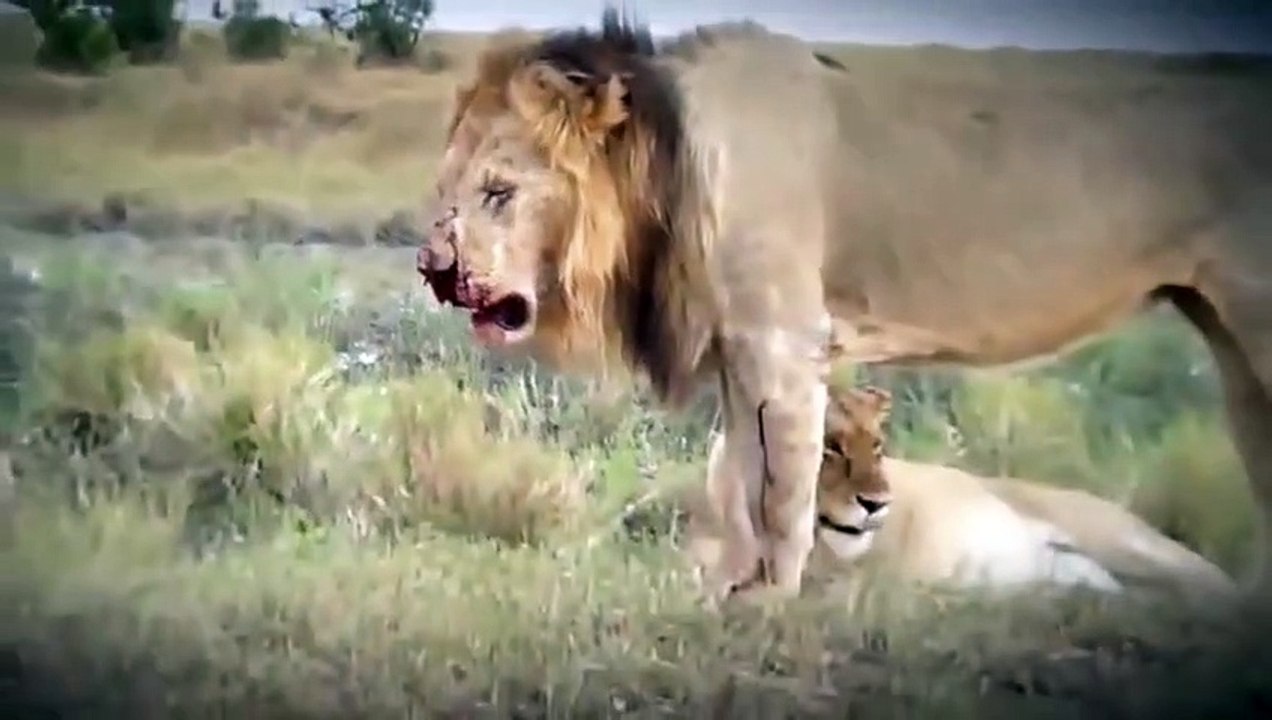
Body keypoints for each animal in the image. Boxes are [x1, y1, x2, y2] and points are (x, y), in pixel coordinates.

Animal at [686, 385, 1239, 612]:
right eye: (830, 447)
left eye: (877, 446)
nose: (877, 503)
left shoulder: (860, 583)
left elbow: (790, 594)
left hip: (1128, 543)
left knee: (1222, 587)